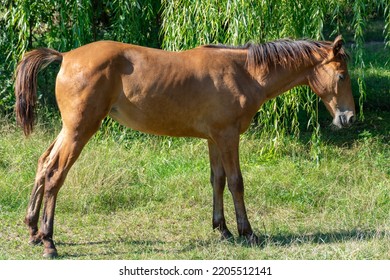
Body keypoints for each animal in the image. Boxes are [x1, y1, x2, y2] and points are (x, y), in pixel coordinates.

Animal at [15, 35, 354, 258]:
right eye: (341, 75)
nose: (348, 117)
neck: (243, 72)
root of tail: (66, 56)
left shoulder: (215, 139)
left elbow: (217, 181)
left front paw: (223, 229)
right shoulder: (228, 137)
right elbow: (236, 182)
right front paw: (248, 233)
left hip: (69, 130)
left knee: (44, 164)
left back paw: (33, 231)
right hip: (79, 130)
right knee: (55, 175)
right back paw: (49, 241)